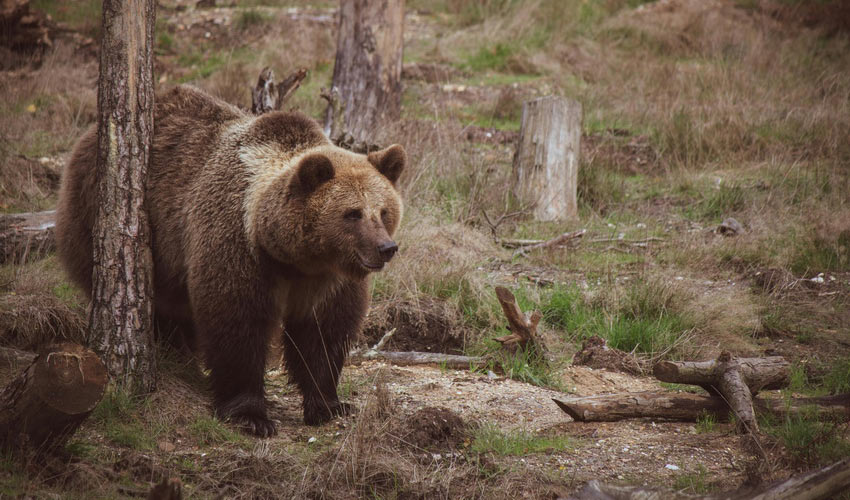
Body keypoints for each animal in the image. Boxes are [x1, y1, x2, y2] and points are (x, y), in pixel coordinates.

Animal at [55, 85, 405, 437]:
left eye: (383, 211)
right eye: (352, 213)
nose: (386, 247)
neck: (293, 258)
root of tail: (87, 137)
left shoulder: (327, 280)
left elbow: (323, 333)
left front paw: (330, 404)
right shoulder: (238, 246)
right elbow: (236, 322)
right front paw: (250, 414)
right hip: (105, 217)